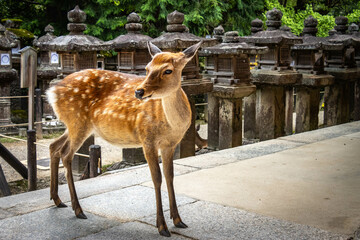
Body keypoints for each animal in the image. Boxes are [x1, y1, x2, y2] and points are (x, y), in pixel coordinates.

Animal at [46, 40, 202, 236]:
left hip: (76, 125)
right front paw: (162, 226)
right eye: (147, 68)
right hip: (77, 121)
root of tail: (51, 91)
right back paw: (78, 209)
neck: (173, 125)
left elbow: (170, 176)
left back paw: (57, 200)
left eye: (168, 70)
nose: (139, 92)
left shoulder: (170, 144)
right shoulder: (147, 139)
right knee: (66, 154)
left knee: (54, 146)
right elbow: (156, 178)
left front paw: (178, 220)